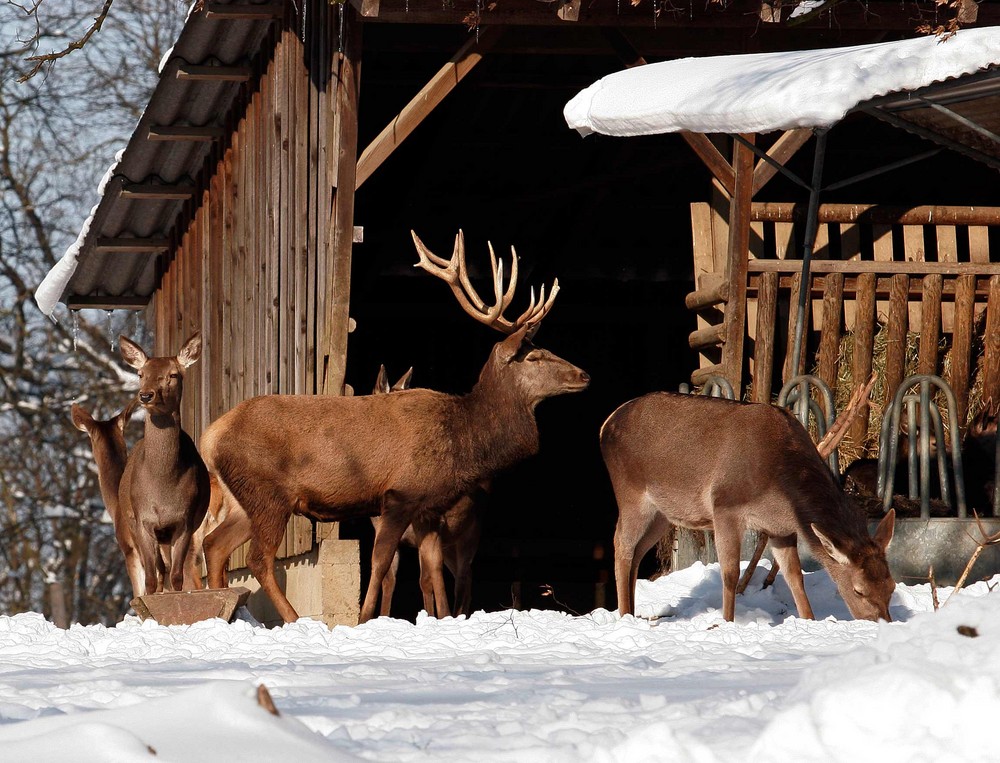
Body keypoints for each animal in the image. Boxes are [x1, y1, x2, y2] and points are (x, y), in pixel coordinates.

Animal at [117, 334, 211, 596]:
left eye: (173, 374)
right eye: (141, 374)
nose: (146, 395)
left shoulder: (185, 521)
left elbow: (177, 577)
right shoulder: (143, 521)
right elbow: (150, 578)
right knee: (158, 571)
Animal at [372, 366, 488, 620]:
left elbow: (425, 580)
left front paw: (429, 616)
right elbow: (388, 579)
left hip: (469, 536)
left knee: (463, 577)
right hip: (450, 546)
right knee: (465, 577)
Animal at [600, 390, 900, 624]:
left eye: (891, 586)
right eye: (858, 590)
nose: (882, 622)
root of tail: (606, 424)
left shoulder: (780, 528)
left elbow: (794, 575)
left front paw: (808, 619)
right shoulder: (725, 506)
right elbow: (731, 573)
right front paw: (727, 621)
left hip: (663, 512)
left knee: (638, 551)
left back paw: (632, 611)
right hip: (631, 494)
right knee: (621, 545)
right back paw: (625, 615)